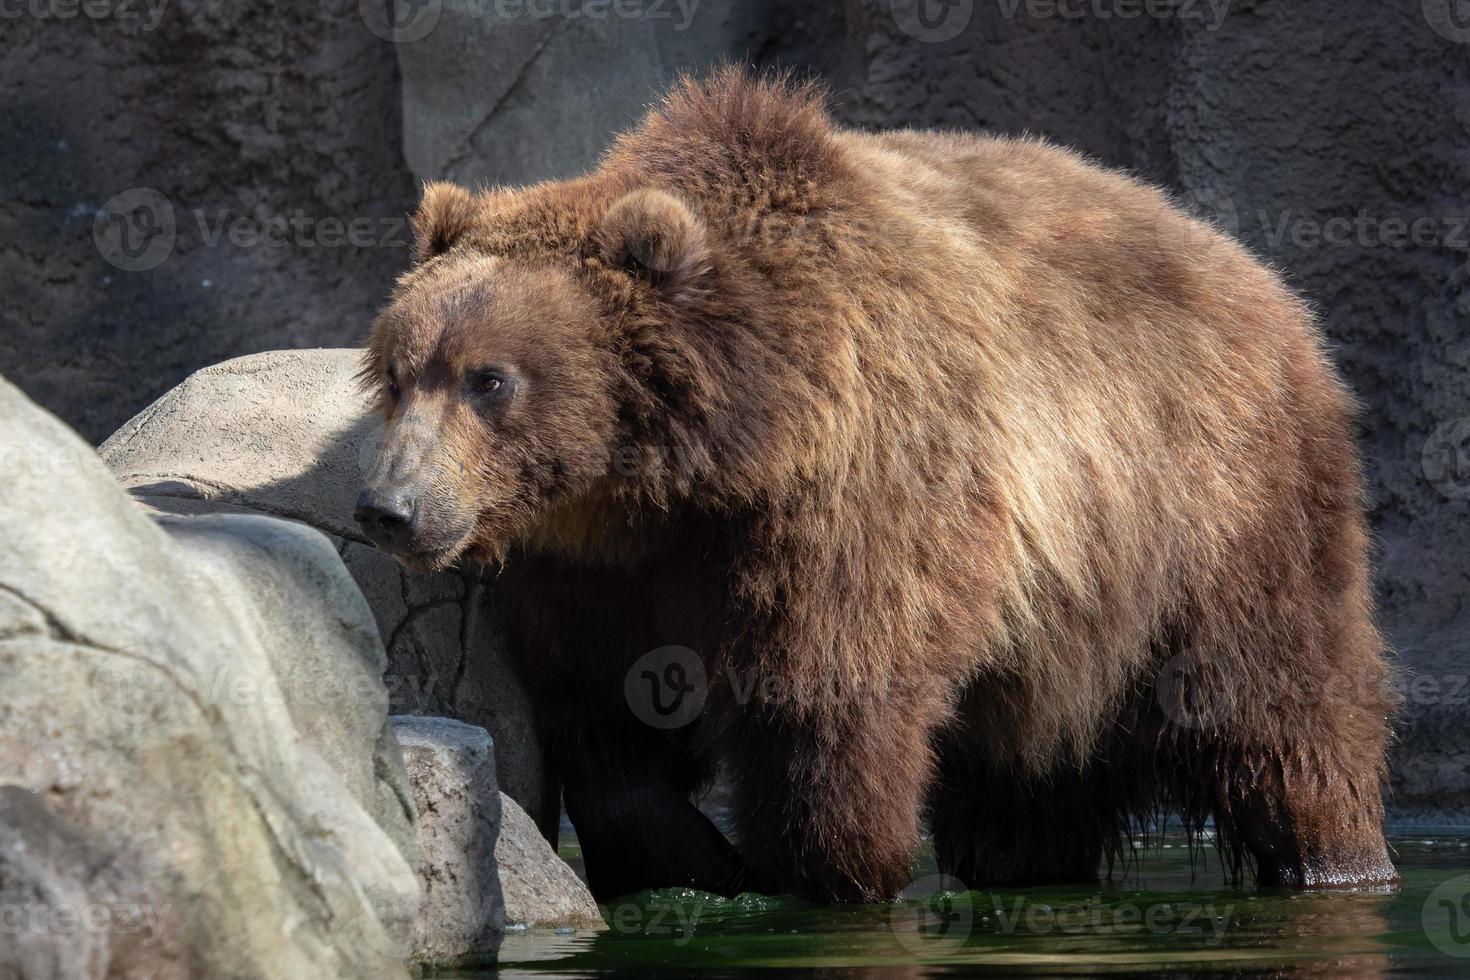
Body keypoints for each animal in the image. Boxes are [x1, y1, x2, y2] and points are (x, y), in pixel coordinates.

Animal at [349, 65, 1393, 899]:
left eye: (490, 379)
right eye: (395, 371)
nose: (388, 507)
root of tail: (1264, 281)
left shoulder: (858, 496)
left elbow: (832, 704)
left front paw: (815, 870)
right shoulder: (593, 567)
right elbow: (606, 720)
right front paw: (690, 857)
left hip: (1214, 502)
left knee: (1280, 706)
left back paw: (1334, 858)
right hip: (1064, 619)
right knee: (1030, 780)